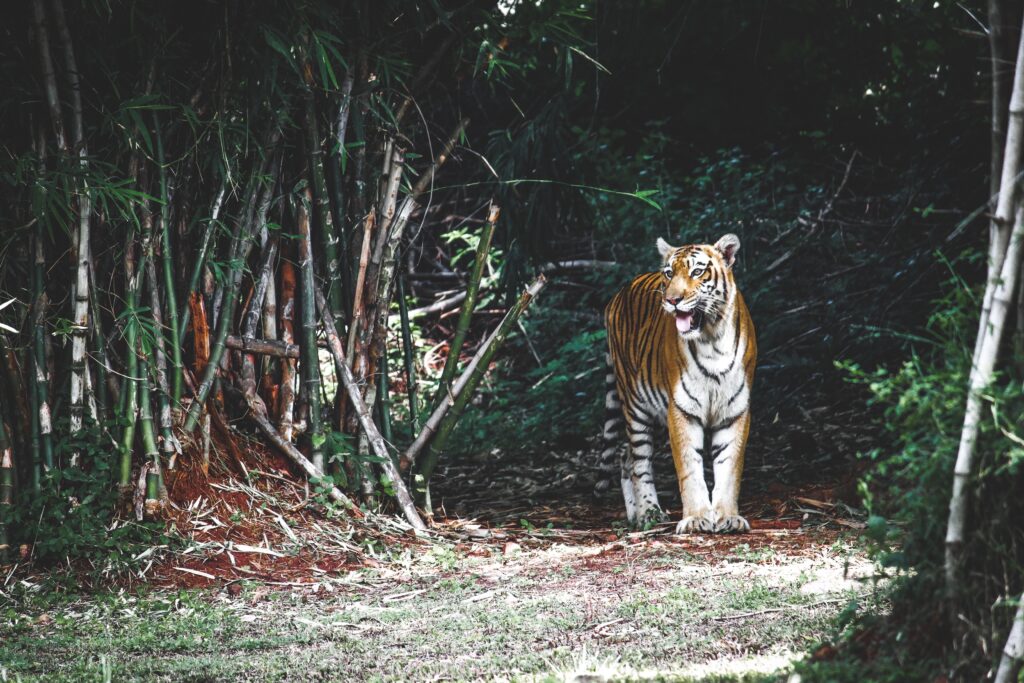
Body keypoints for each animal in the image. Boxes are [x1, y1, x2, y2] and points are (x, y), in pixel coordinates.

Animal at [598, 235, 757, 532]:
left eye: (697, 271)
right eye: (669, 273)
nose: (672, 300)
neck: (712, 339)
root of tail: (616, 296)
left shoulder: (735, 411)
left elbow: (730, 468)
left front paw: (727, 516)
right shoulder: (681, 410)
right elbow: (689, 468)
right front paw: (696, 518)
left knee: (625, 456)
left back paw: (636, 515)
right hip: (636, 407)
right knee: (637, 461)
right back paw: (648, 513)